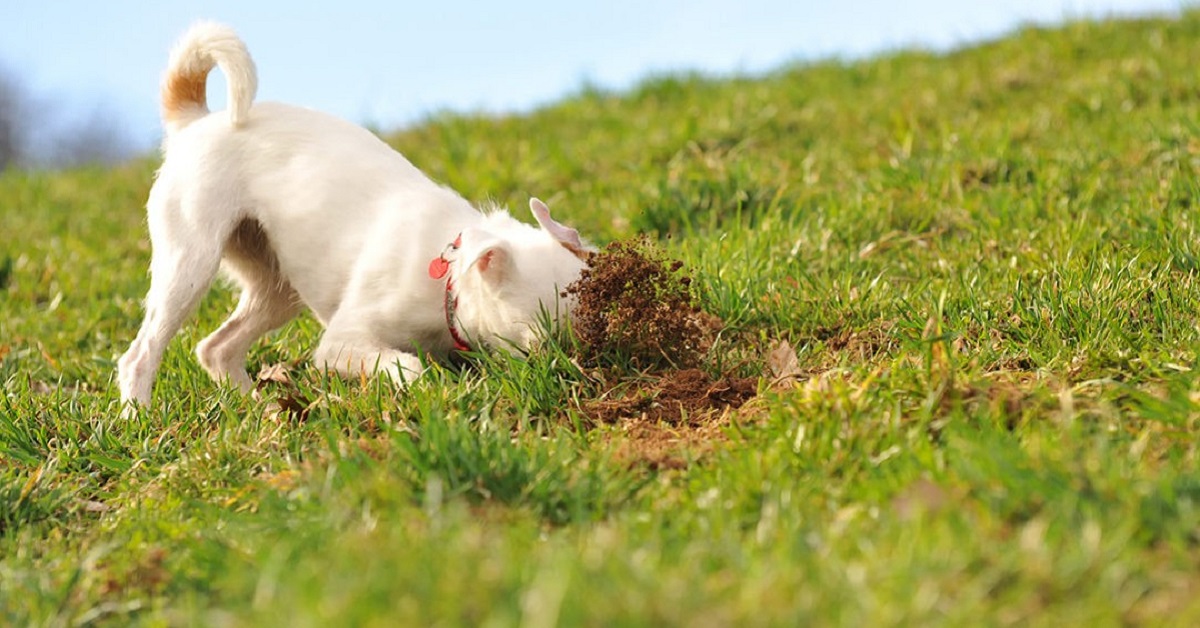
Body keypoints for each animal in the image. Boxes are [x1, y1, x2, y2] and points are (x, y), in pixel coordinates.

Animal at [114, 22, 592, 408]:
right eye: (539, 342)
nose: (581, 370)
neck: (449, 282)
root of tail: (196, 121)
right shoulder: (339, 344)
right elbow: (409, 366)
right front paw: (425, 387)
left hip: (276, 286)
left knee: (216, 348)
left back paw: (257, 407)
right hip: (189, 265)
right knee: (140, 354)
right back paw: (139, 416)